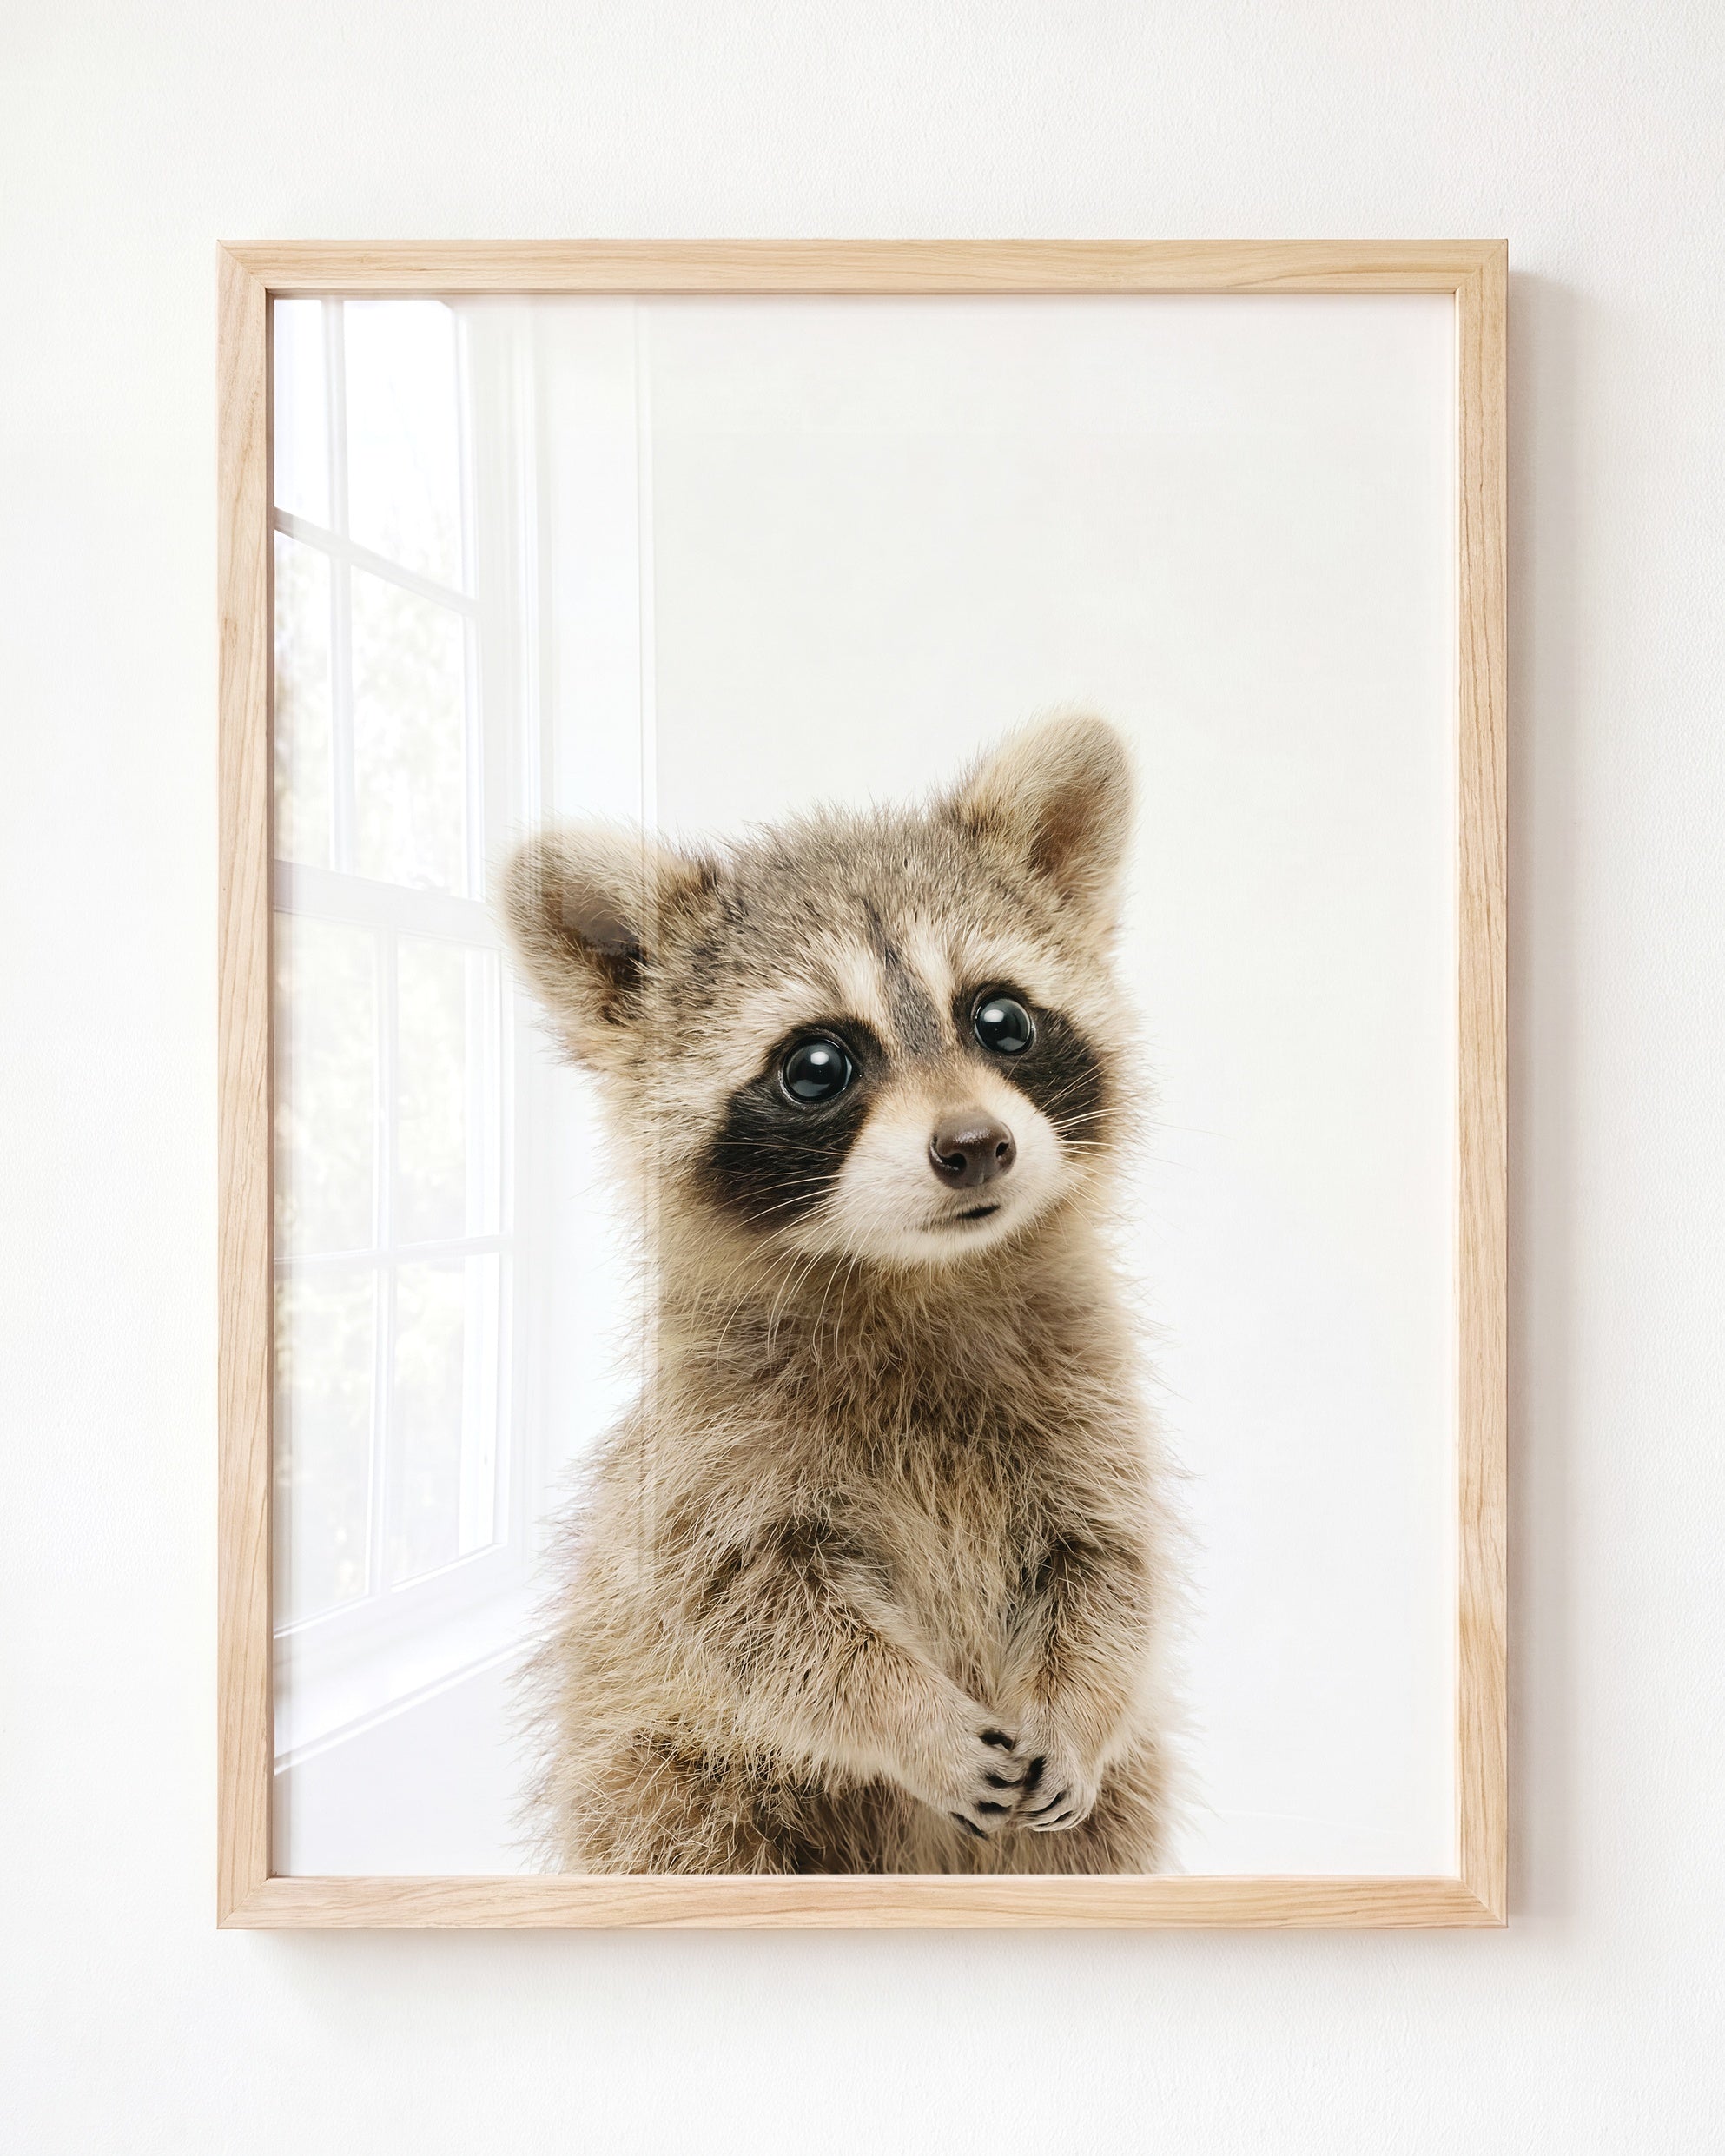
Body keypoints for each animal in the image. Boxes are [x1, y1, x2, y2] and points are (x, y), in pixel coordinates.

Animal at [502, 714, 1178, 1874]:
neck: (917, 1276)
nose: (975, 1145)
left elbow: (1108, 1569)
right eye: (818, 1065)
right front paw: (911, 1718)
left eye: (1002, 1019)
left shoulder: (1089, 1403)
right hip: (666, 1777)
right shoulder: (708, 1458)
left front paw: (1079, 1704)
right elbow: (761, 1617)